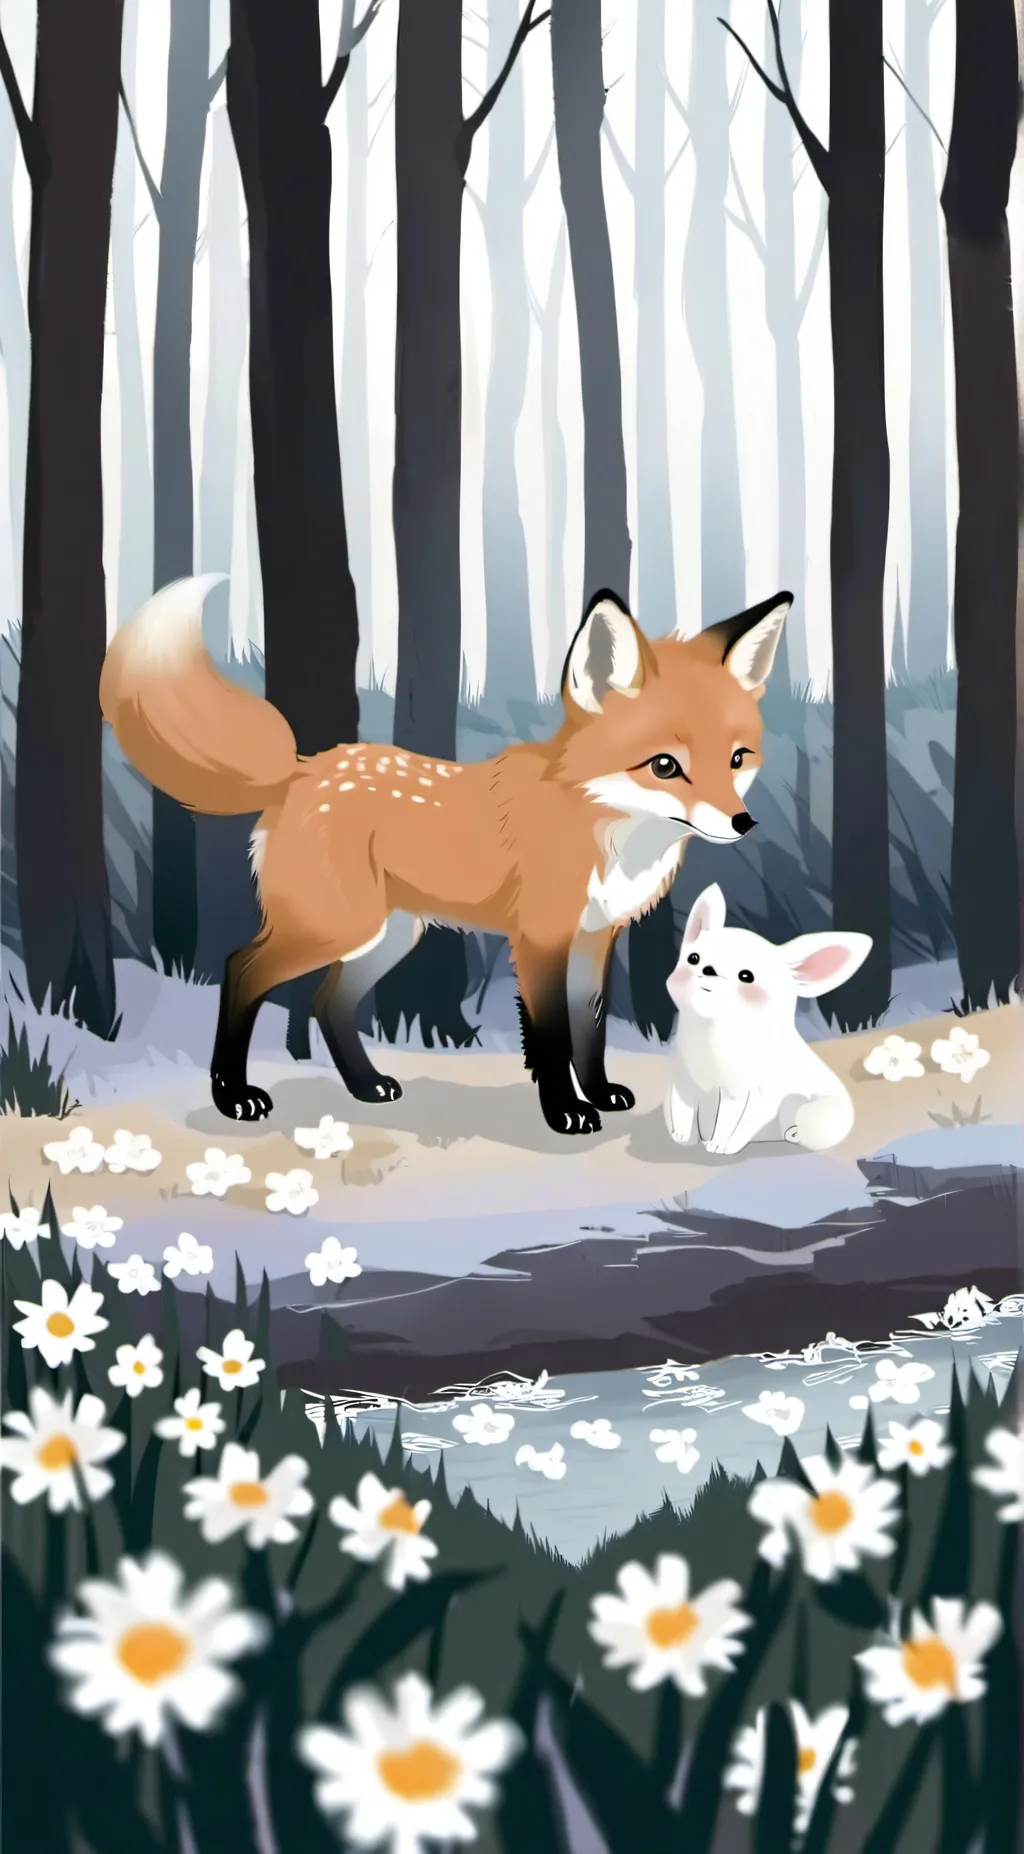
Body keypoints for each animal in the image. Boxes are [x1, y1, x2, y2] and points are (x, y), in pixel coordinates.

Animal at [98, 574, 792, 1136]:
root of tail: (301, 769)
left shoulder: (596, 939)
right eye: (665, 766)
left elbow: (590, 1029)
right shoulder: (539, 941)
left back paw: (364, 1086)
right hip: (334, 926)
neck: (603, 829)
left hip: (387, 937)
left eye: (737, 759)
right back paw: (233, 1095)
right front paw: (566, 1112)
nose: (743, 822)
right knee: (241, 968)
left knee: (327, 1000)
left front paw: (598, 1093)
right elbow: (551, 1038)